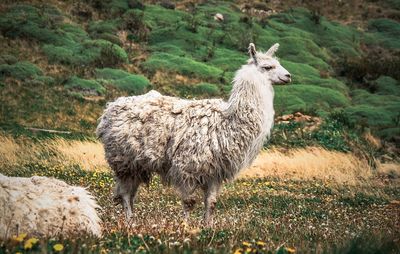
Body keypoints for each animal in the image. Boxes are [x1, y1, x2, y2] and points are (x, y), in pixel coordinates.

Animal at [97, 42, 290, 225]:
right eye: (268, 67)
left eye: (279, 63)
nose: (288, 76)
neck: (227, 120)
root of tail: (109, 109)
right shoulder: (187, 166)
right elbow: (188, 202)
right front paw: (186, 227)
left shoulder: (214, 172)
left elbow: (211, 202)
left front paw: (208, 227)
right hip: (123, 161)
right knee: (125, 194)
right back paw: (130, 223)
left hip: (137, 164)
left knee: (130, 194)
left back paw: (133, 222)